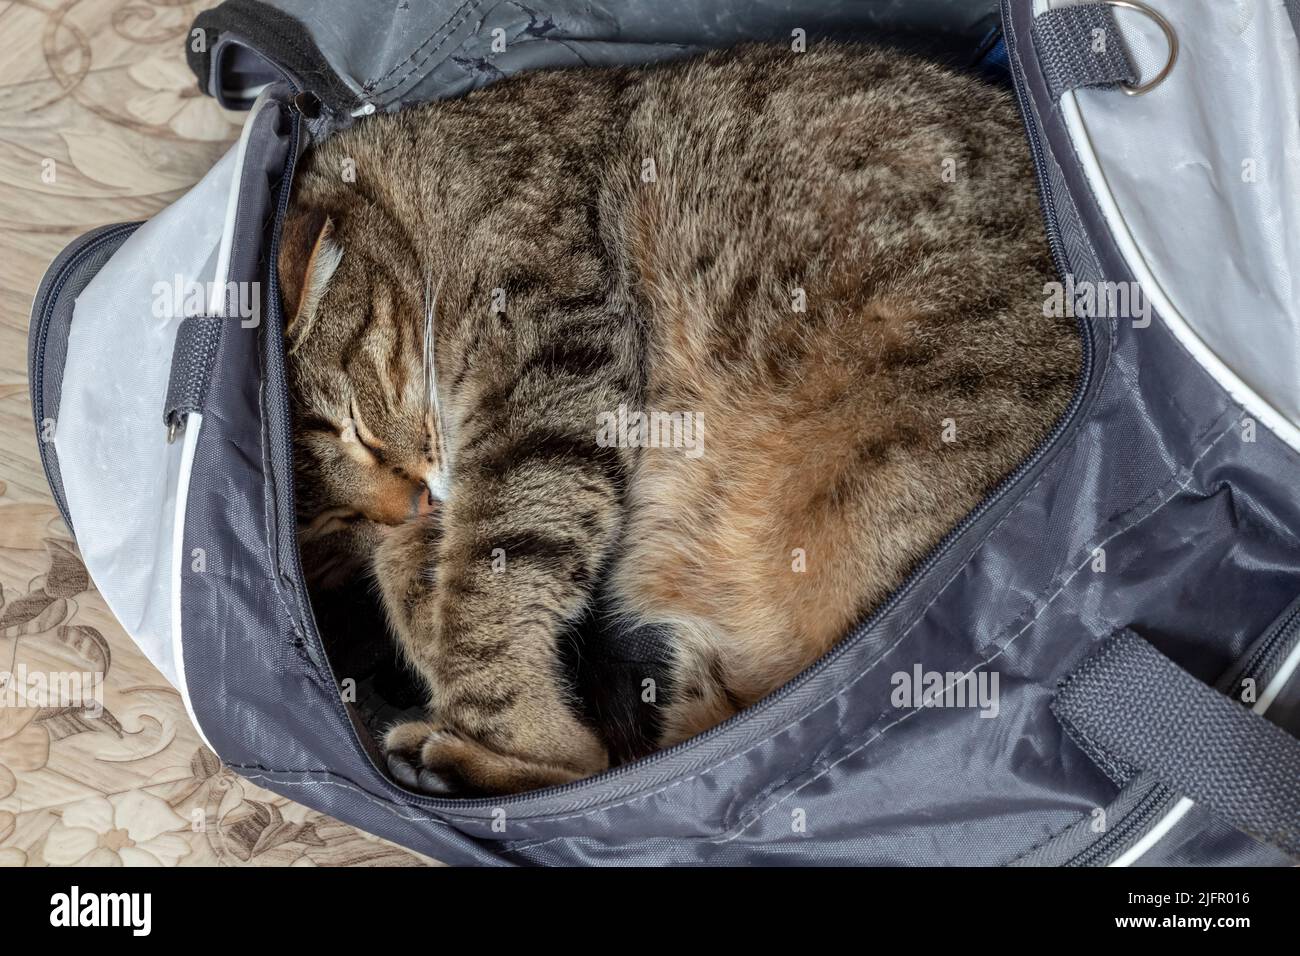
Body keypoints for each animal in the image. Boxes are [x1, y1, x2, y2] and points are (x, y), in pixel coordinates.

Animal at [279, 41, 1081, 796]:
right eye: (323, 522)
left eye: (355, 424)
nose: (409, 503)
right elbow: (424, 574)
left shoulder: (553, 372)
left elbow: (488, 582)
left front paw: (517, 727)